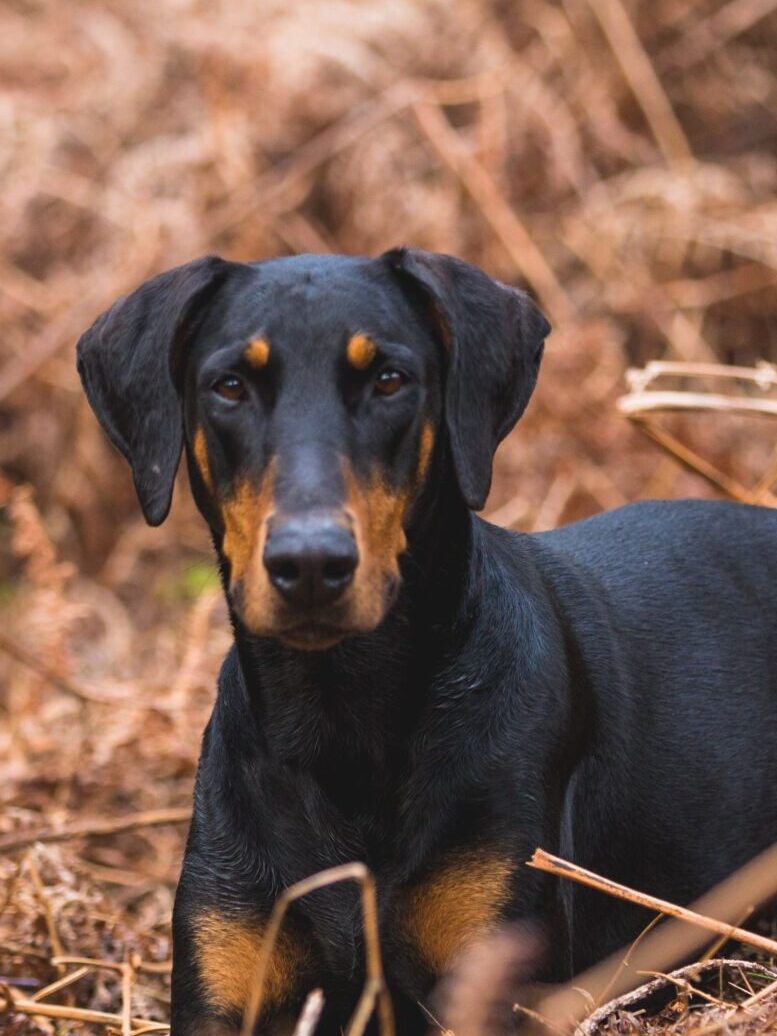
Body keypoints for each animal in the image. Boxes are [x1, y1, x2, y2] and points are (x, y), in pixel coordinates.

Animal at [77, 250, 777, 1036]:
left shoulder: (494, 967)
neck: (341, 719)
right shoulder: (223, 973)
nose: (311, 563)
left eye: (389, 379)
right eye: (229, 385)